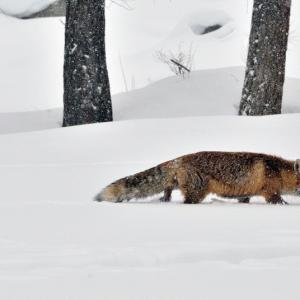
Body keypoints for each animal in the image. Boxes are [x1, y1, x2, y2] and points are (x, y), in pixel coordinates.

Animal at [95, 151, 300, 205]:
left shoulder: (246, 193)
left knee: (168, 188)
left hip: (181, 185)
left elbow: (244, 200)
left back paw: (164, 199)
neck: (278, 171)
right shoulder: (270, 192)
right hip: (196, 193)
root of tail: (178, 159)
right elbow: (280, 202)